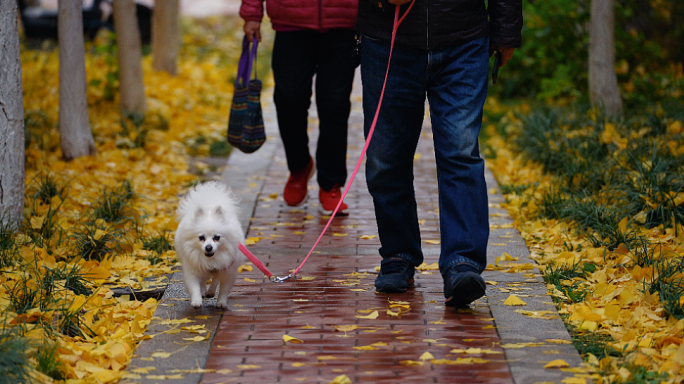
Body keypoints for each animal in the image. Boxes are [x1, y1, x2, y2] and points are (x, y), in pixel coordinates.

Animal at [174, 182, 246, 310]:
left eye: (216, 237)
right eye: (201, 237)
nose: (208, 247)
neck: (210, 260)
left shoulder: (227, 270)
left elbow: (224, 289)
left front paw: (221, 302)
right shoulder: (193, 268)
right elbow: (194, 286)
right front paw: (196, 301)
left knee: (215, 280)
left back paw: (211, 292)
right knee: (203, 282)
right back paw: (204, 292)